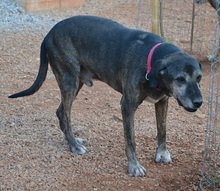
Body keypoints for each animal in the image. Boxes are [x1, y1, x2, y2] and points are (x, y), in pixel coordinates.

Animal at [9, 15, 203, 177]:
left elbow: (162, 130)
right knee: (64, 113)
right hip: (69, 80)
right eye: (180, 79)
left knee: (60, 111)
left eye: (199, 77)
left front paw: (162, 153)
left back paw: (71, 140)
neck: (151, 60)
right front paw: (134, 166)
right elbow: (130, 140)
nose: (199, 102)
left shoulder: (162, 102)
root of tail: (49, 34)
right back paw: (74, 146)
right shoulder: (127, 106)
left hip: (76, 82)